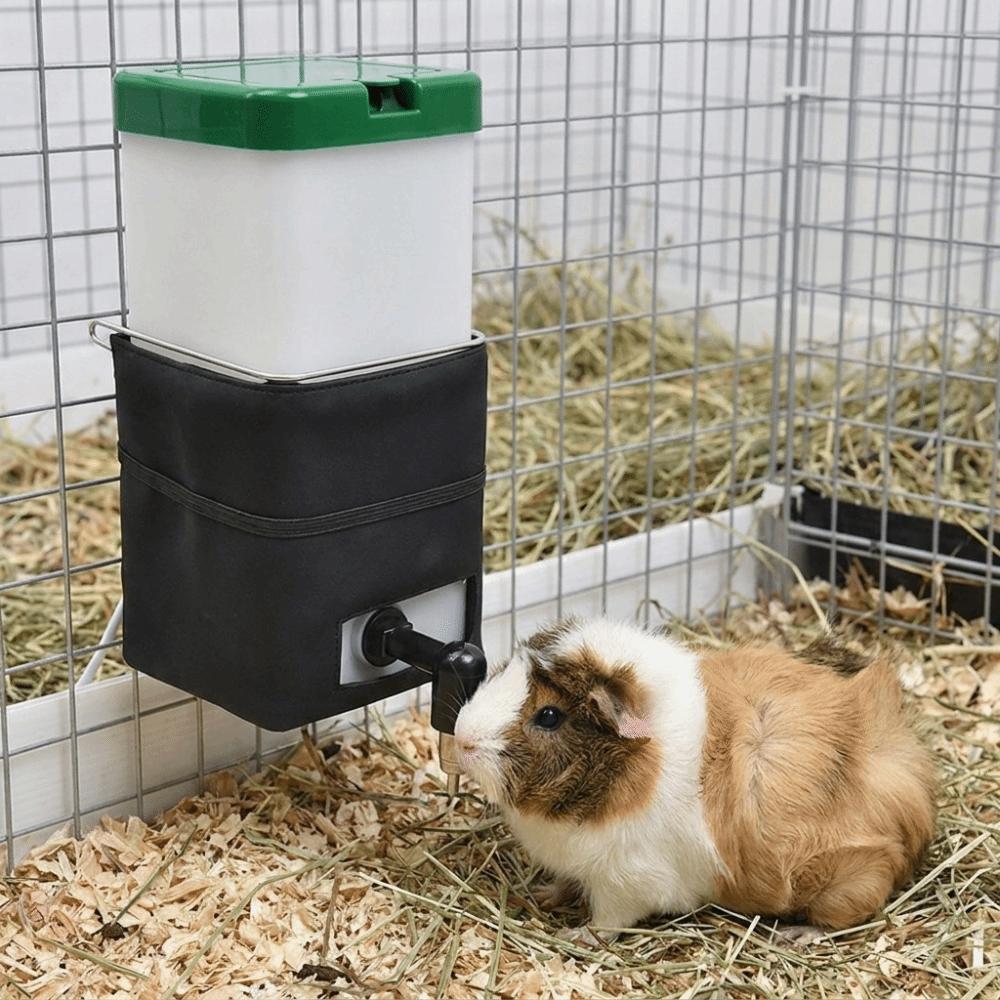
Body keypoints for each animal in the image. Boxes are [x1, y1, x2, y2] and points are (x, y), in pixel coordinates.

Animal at [453, 617, 937, 944]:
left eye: (549, 715)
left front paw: (577, 936)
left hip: (848, 882)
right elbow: (567, 881)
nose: (461, 737)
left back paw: (798, 935)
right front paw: (541, 893)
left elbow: (607, 920)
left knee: (851, 914)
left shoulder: (625, 879)